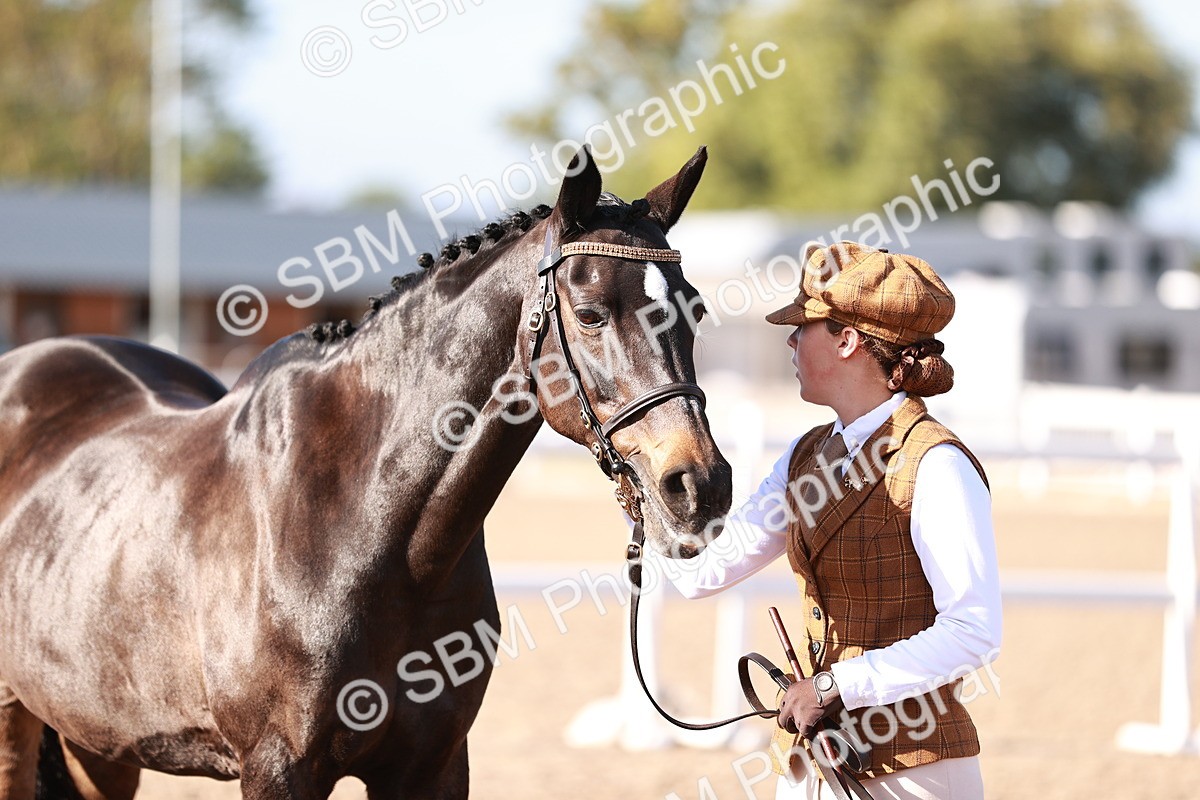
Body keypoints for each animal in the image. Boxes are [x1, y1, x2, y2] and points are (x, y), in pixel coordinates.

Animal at [0, 146, 732, 799]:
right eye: (589, 314)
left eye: (694, 309)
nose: (699, 485)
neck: (371, 531)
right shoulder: (277, 769)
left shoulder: (433, 768)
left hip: (98, 740)